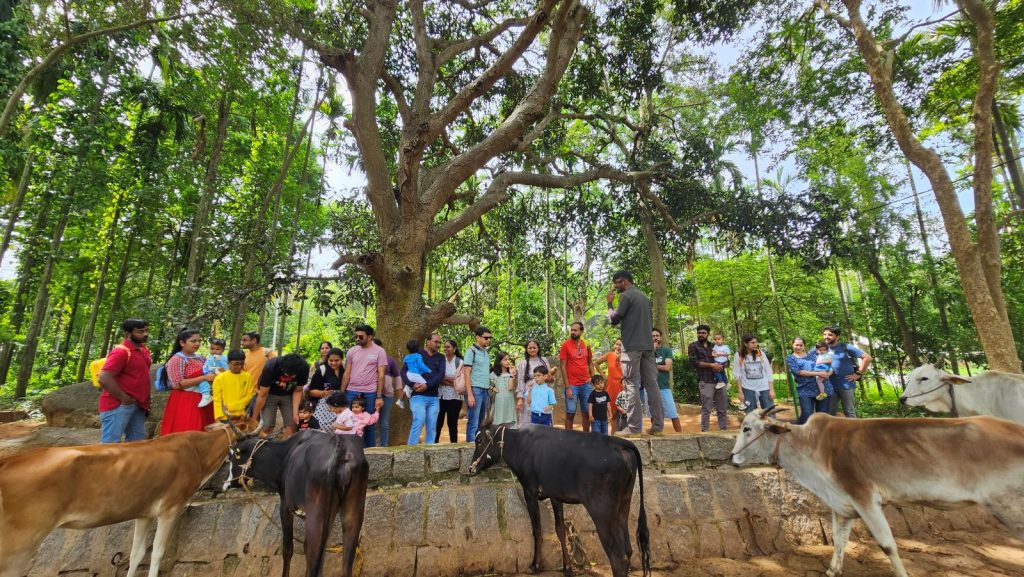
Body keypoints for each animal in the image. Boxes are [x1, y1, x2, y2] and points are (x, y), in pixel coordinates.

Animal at [0, 416, 259, 577]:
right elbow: (157, 553)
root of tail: (9, 461)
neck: (198, 453)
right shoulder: (171, 507)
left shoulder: (143, 512)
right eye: (254, 424)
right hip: (20, 541)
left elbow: (137, 554)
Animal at [225, 428, 368, 577]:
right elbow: (314, 552)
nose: (226, 484)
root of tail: (340, 446)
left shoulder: (285, 506)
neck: (284, 456)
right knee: (344, 566)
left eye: (230, 456)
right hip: (352, 511)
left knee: (313, 563)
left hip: (317, 516)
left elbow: (288, 549)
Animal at [468, 422, 651, 577]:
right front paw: (567, 568)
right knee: (628, 550)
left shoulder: (530, 491)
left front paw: (535, 566)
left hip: (602, 512)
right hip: (623, 507)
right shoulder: (555, 496)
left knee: (617, 556)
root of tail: (619, 444)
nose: (471, 468)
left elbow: (537, 529)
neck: (519, 444)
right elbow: (560, 530)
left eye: (479, 441)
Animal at [730, 407, 1024, 577]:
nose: (732, 457)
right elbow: (839, 541)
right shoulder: (842, 504)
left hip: (1009, 505)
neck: (812, 447)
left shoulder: (865, 497)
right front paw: (832, 571)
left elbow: (887, 545)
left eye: (747, 428)